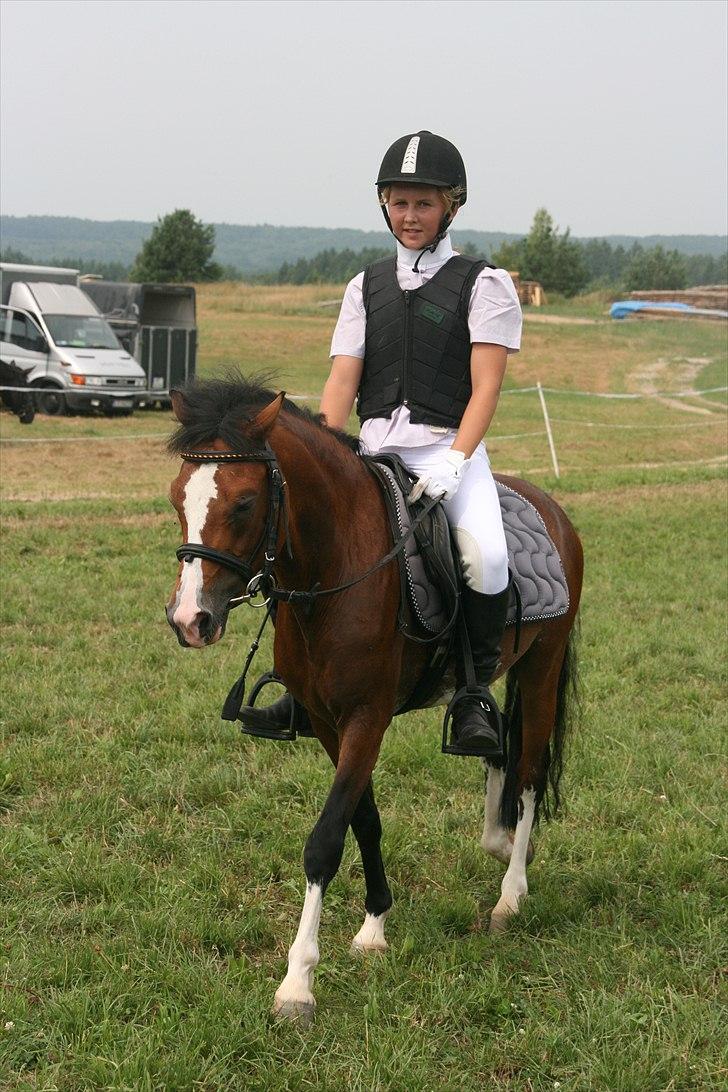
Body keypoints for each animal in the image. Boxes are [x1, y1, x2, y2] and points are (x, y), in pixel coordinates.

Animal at [165, 374, 583, 1024]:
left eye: (243, 503)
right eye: (175, 499)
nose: (190, 620)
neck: (337, 563)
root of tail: (552, 509)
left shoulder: (368, 717)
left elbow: (324, 840)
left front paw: (298, 983)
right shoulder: (327, 721)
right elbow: (363, 818)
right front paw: (374, 926)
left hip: (543, 665)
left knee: (531, 772)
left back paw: (510, 896)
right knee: (495, 747)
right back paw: (497, 838)